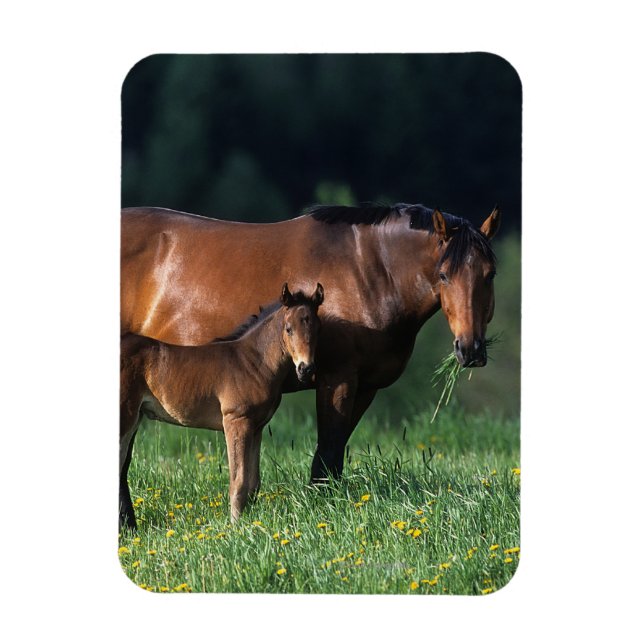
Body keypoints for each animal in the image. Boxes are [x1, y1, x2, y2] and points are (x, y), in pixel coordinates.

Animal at [119, 282, 324, 528]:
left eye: (317, 329)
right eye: (288, 329)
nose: (306, 369)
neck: (254, 361)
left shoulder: (256, 427)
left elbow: (253, 482)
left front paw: (249, 522)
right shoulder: (236, 421)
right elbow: (239, 480)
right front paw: (236, 527)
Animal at [121, 203, 500, 483]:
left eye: (490, 274)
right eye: (443, 275)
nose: (470, 350)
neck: (370, 270)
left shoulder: (365, 387)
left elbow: (334, 455)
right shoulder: (337, 379)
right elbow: (327, 454)